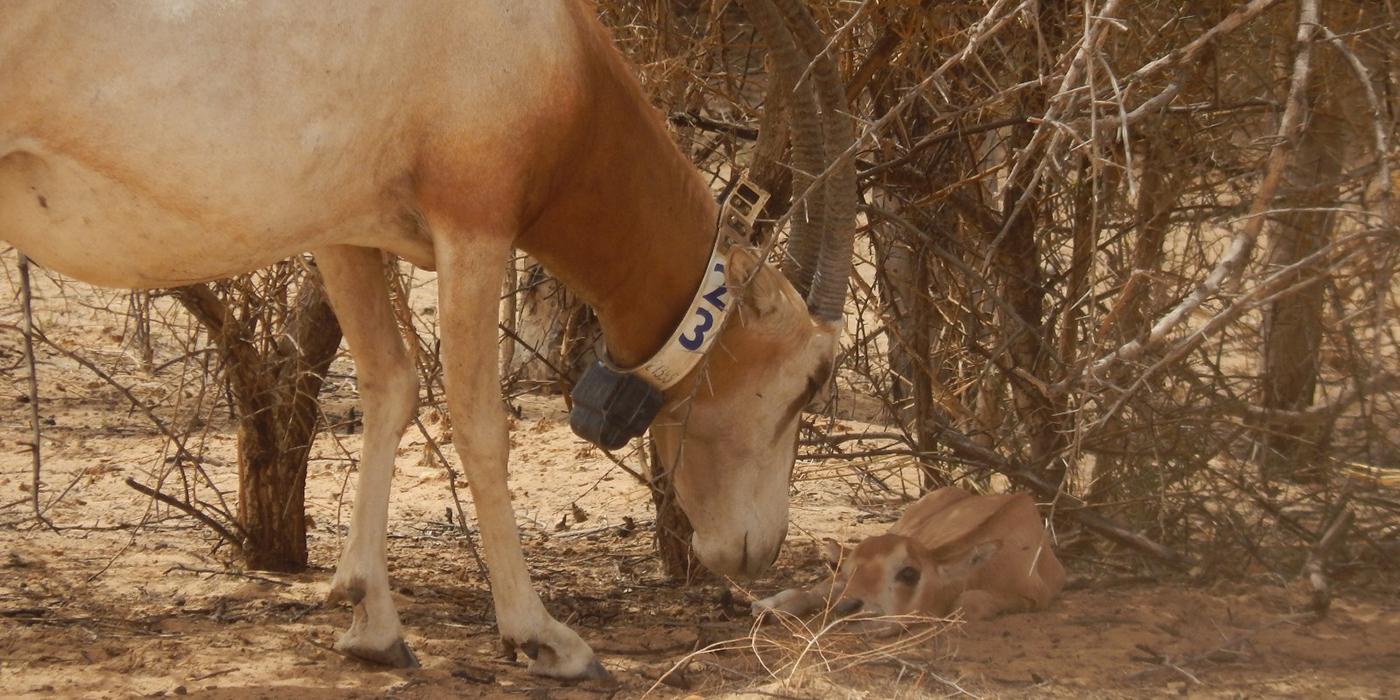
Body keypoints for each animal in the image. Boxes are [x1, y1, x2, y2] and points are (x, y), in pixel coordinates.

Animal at [756, 487, 1058, 624]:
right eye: (850, 570)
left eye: (909, 572)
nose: (849, 608)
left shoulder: (1038, 596)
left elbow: (969, 602)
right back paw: (769, 607)